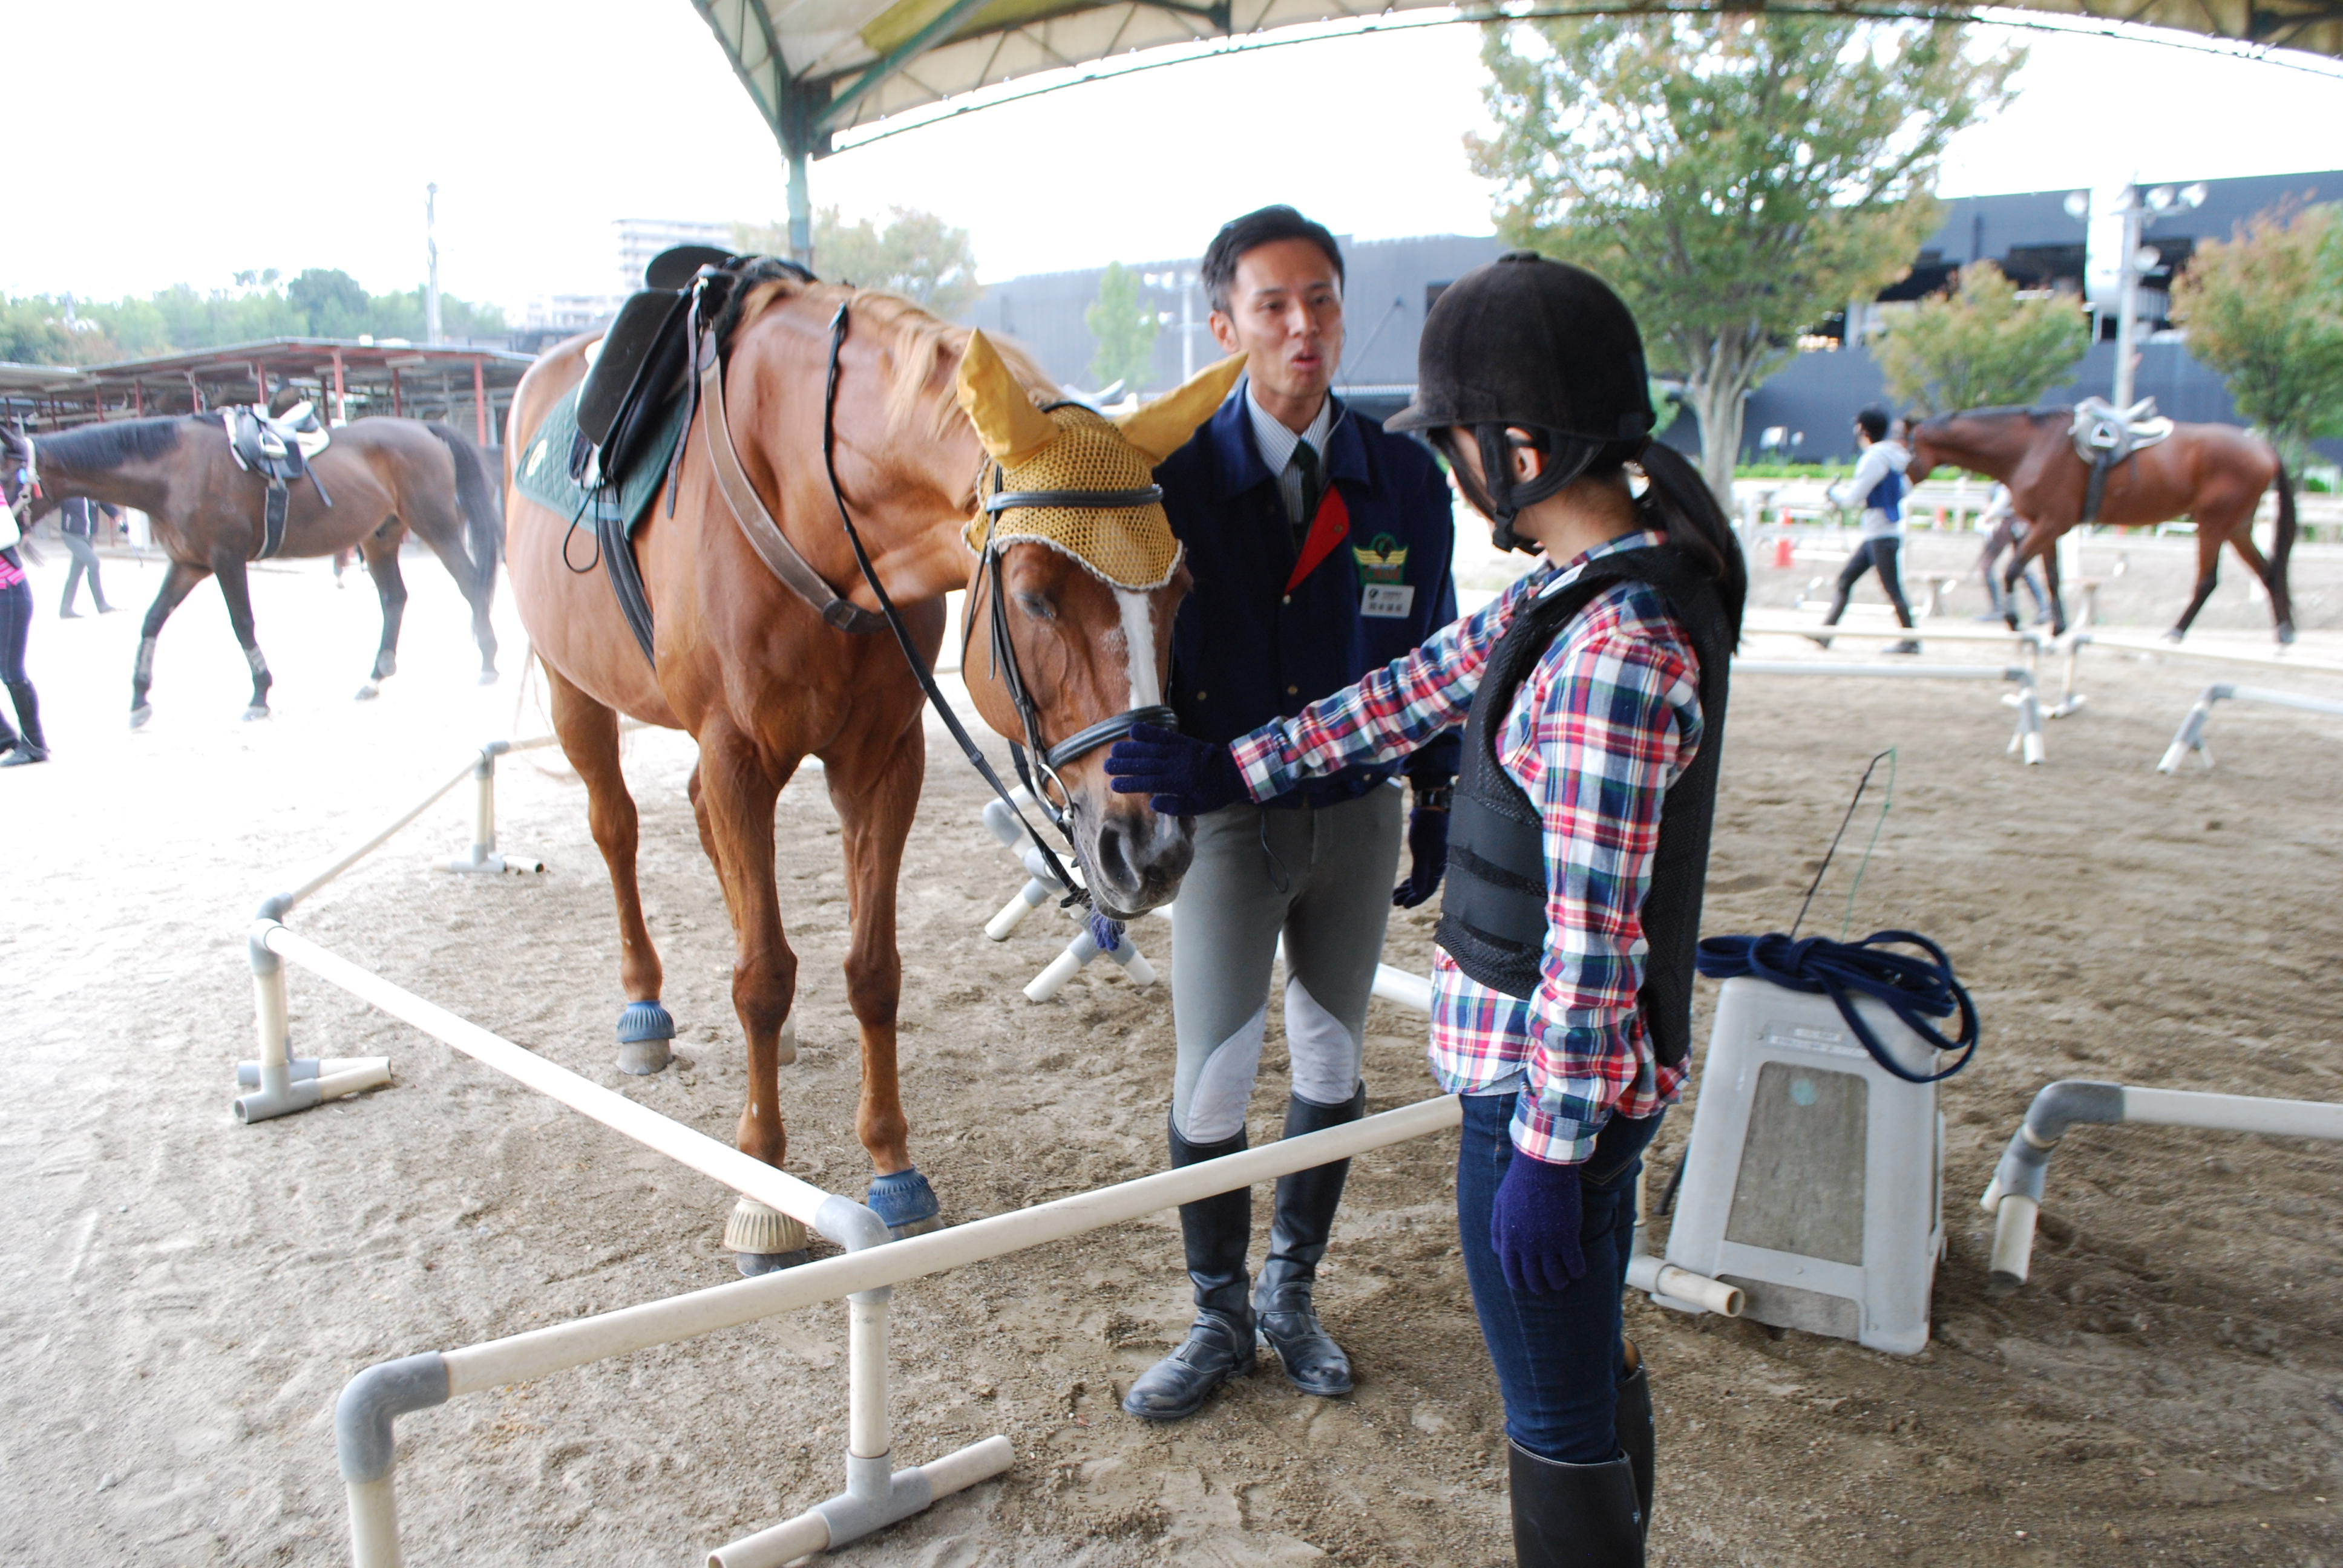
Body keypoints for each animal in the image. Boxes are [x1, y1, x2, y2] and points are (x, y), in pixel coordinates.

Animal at [9, 412, 506, 727]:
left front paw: (260, 695)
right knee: (395, 599)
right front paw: (138, 698)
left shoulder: (225, 560)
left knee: (471, 585)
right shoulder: (187, 564)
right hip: (379, 538)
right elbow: (152, 621)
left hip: (436, 528)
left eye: (5, 474)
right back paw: (375, 676)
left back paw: (487, 660)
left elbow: (242, 623)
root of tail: (423, 427)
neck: (175, 470)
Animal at [503, 272, 1237, 1275]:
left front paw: (891, 1165)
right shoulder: (737, 755)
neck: (812, 509)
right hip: (572, 688)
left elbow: (872, 969)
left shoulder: (884, 757)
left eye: (1181, 592)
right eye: (1036, 596)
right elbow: (763, 976)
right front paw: (763, 1195)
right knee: (617, 830)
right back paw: (642, 1012)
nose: (1151, 850)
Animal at [1893, 410, 2296, 647]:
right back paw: (2284, 632)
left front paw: (2014, 620)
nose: (1892, 486)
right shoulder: (2045, 526)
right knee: (2269, 572)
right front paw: (2057, 626)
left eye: (1898, 450)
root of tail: (2264, 449)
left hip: (2214, 524)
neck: (2029, 447)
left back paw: (2176, 631)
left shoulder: (2052, 523)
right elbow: (2051, 577)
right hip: (2238, 527)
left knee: (2208, 580)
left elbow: (2013, 569)